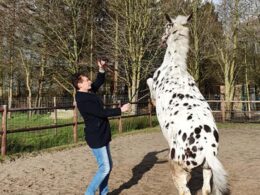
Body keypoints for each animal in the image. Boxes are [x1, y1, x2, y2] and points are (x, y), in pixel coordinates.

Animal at [147, 14, 229, 195]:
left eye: (165, 26)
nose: (160, 40)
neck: (175, 66)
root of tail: (206, 146)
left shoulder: (153, 86)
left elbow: (148, 82)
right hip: (207, 168)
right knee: (205, 189)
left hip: (177, 165)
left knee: (184, 189)